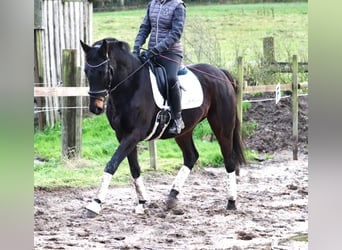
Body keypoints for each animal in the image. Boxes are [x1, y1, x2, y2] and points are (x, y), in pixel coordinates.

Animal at [80, 37, 246, 217]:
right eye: (86, 71)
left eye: (104, 71)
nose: (95, 108)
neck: (131, 86)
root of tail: (220, 73)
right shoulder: (122, 135)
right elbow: (134, 168)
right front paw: (142, 203)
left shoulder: (134, 135)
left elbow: (112, 164)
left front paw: (95, 204)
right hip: (184, 131)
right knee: (191, 156)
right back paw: (172, 196)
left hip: (223, 127)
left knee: (228, 160)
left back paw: (231, 201)